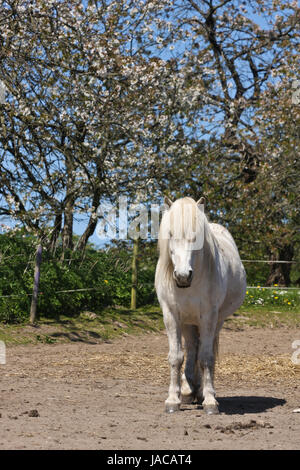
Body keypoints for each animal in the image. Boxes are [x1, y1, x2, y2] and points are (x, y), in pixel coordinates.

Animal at [155, 196, 246, 414]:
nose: (182, 276)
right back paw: (189, 390)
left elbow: (206, 358)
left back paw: (201, 391)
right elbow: (176, 357)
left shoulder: (209, 317)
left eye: (196, 237)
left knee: (204, 350)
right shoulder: (171, 316)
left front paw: (210, 400)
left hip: (216, 321)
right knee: (191, 348)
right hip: (188, 322)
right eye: (170, 234)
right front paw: (173, 399)